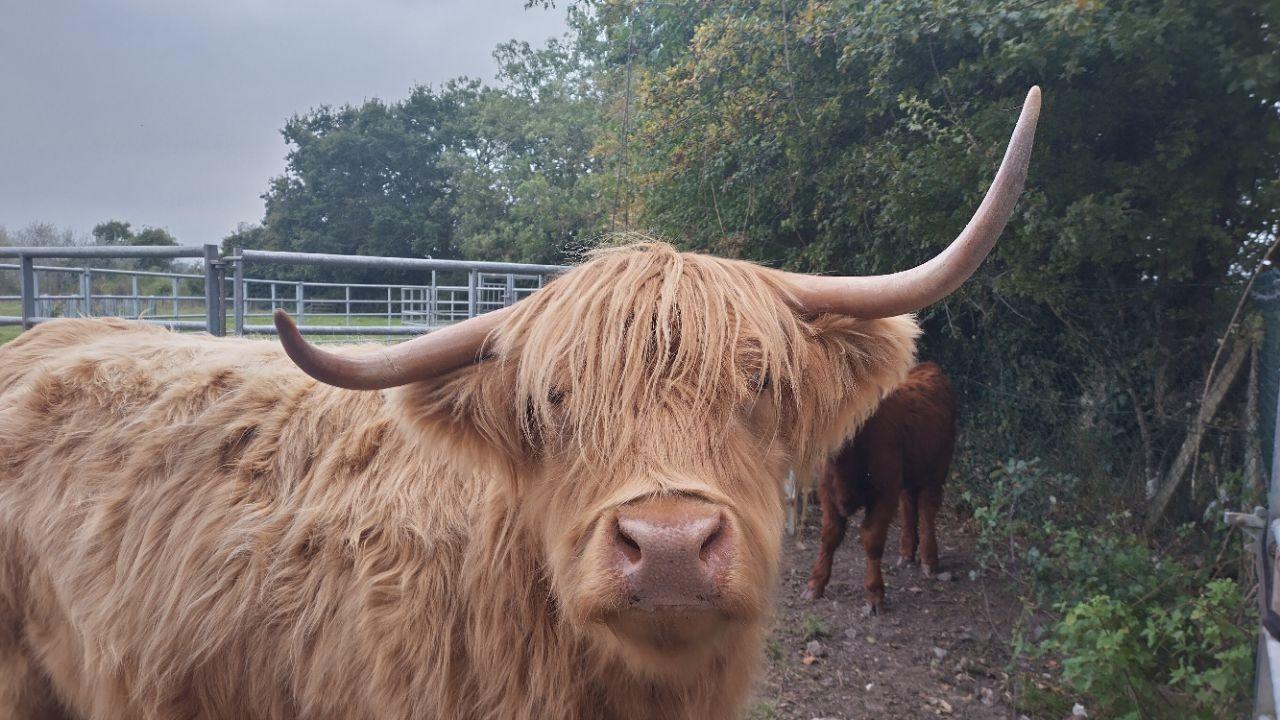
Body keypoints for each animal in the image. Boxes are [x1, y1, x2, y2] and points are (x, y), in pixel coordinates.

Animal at [803, 358, 957, 609]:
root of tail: (927, 366)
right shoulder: (827, 491)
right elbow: (829, 535)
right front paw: (816, 584)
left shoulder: (885, 492)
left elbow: (872, 538)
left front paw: (875, 593)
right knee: (908, 506)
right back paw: (906, 553)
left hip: (937, 470)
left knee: (927, 510)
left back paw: (929, 560)